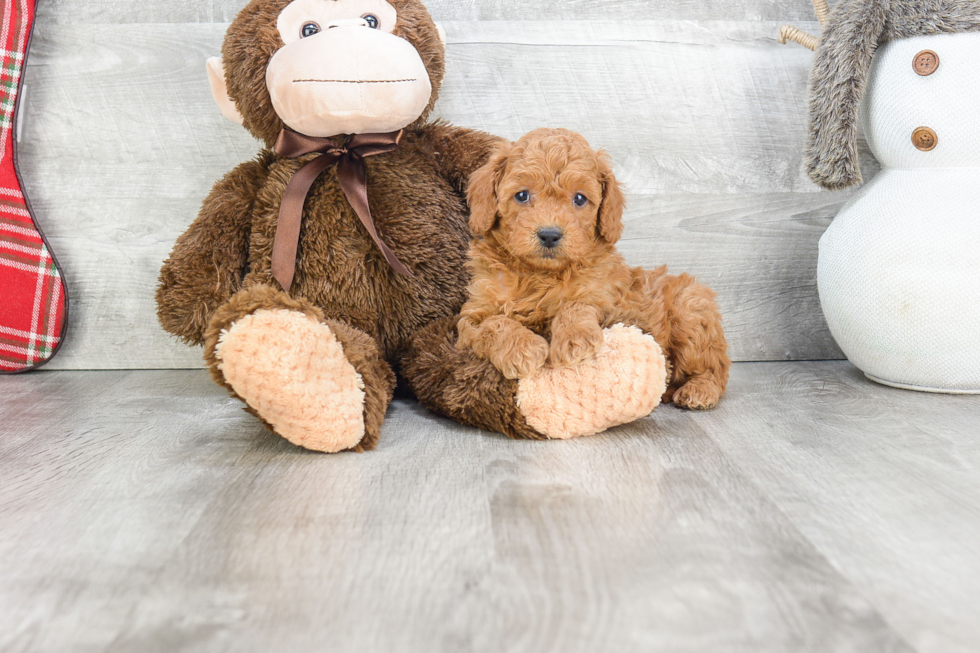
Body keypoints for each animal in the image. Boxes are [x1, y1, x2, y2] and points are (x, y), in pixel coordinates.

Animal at [458, 127, 728, 408]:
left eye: (579, 198)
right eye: (522, 195)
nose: (550, 235)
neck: (539, 274)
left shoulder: (606, 299)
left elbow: (577, 305)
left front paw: (574, 339)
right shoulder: (472, 316)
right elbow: (494, 323)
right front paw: (522, 349)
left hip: (691, 310)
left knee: (715, 367)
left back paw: (699, 390)